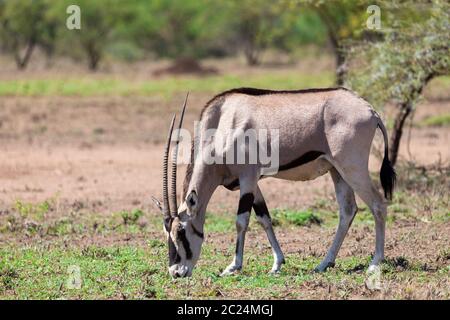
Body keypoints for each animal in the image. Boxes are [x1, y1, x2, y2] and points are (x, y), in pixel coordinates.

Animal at [153, 87, 396, 278]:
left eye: (181, 232)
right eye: (167, 233)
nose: (176, 272)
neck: (223, 122)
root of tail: (370, 111)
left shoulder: (248, 178)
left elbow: (241, 221)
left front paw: (233, 266)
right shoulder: (252, 183)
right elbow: (264, 218)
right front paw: (277, 264)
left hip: (352, 168)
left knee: (378, 205)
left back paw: (375, 263)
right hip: (337, 171)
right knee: (347, 210)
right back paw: (324, 264)